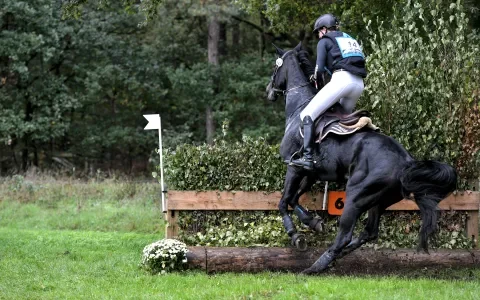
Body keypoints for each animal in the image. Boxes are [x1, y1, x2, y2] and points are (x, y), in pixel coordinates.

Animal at [266, 42, 458, 274]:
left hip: (356, 196)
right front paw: (313, 222)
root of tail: (405, 162)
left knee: (345, 234)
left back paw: (317, 266)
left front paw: (296, 236)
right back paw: (337, 255)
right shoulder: (311, 172)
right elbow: (294, 199)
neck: (299, 108)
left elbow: (284, 201)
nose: (268, 91)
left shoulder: (294, 167)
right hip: (379, 200)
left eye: (275, 68)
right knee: (369, 232)